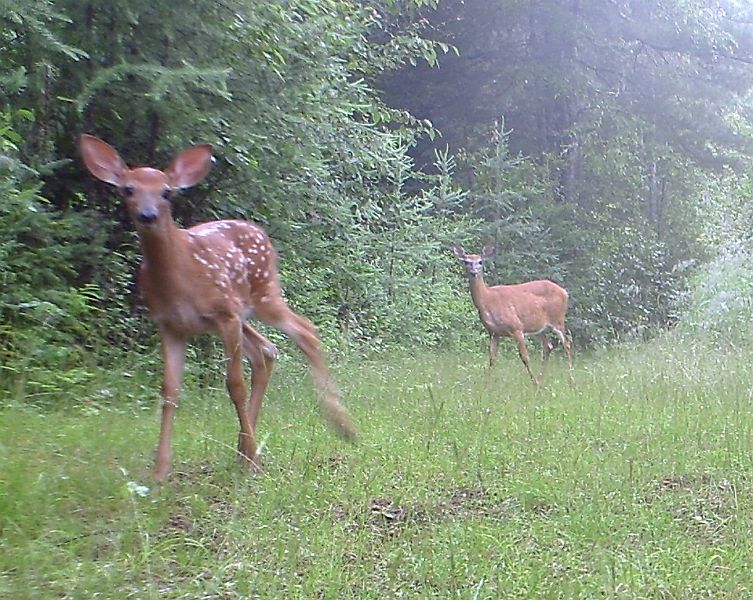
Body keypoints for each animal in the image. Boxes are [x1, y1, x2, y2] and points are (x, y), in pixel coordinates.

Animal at [81, 134, 356, 480]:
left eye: (166, 191)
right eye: (127, 189)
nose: (147, 215)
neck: (179, 279)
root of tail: (260, 232)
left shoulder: (225, 314)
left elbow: (234, 384)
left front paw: (254, 459)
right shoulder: (170, 324)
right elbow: (169, 391)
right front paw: (160, 471)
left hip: (262, 294)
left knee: (304, 331)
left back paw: (339, 426)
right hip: (237, 313)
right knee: (266, 350)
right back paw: (244, 450)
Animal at [450, 243, 572, 384]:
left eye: (480, 261)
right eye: (466, 262)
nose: (474, 272)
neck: (487, 300)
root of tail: (564, 292)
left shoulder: (516, 327)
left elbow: (525, 357)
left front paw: (533, 383)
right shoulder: (493, 332)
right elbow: (492, 358)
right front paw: (487, 383)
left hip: (558, 320)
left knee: (567, 344)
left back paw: (570, 381)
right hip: (539, 327)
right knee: (548, 346)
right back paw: (541, 379)